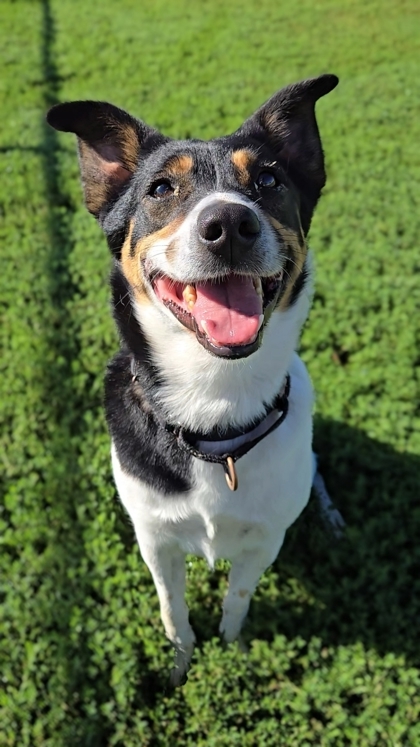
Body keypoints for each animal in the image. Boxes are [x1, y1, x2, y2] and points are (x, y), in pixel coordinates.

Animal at [47, 73, 340, 688]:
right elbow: (172, 609)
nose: (228, 225)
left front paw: (230, 651)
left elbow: (237, 600)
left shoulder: (263, 543)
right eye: (160, 188)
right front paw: (180, 665)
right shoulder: (155, 540)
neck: (214, 405)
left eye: (269, 180)